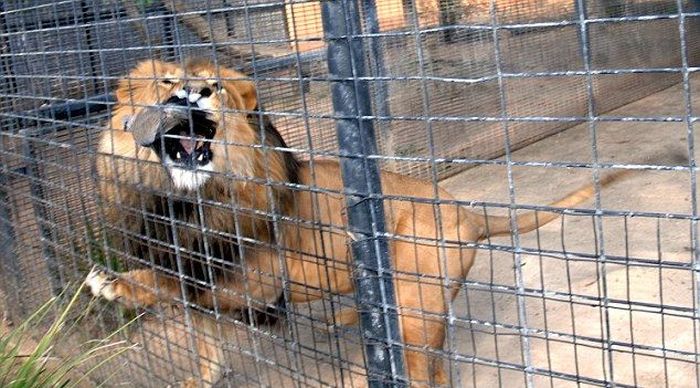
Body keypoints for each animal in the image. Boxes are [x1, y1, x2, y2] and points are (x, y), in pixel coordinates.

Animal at [87, 59, 628, 386]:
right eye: (165, 82)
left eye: (214, 86)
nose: (192, 93)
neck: (181, 201)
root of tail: (468, 211)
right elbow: (204, 344)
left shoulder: (257, 277)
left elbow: (171, 283)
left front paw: (113, 282)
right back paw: (343, 318)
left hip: (418, 302)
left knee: (427, 367)